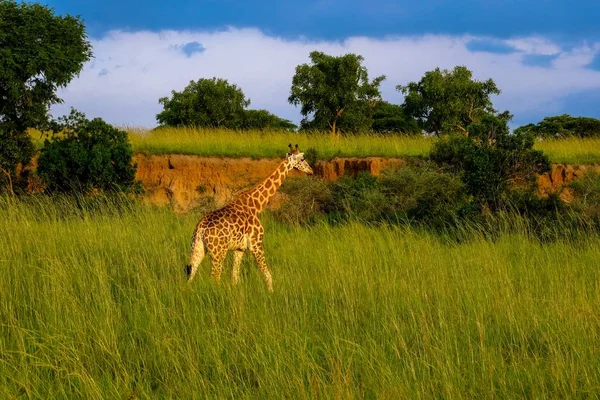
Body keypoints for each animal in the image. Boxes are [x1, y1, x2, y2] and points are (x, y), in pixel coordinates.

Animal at [184, 144, 314, 290]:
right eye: (302, 159)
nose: (311, 171)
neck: (256, 205)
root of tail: (200, 229)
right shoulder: (256, 244)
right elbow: (268, 276)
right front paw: (271, 292)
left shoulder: (239, 248)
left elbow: (234, 277)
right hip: (218, 252)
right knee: (214, 277)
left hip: (198, 248)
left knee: (191, 274)